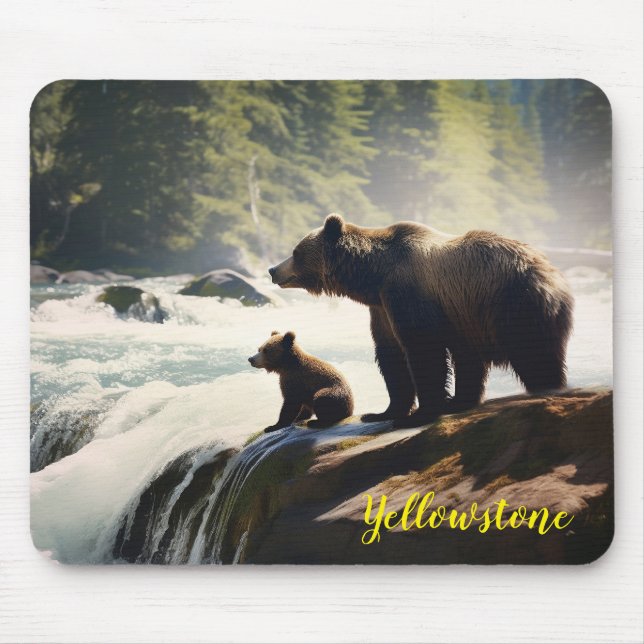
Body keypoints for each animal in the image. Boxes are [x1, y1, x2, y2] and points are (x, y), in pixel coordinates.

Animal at [268, 214, 574, 429]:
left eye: (295, 252)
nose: (272, 269)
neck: (374, 274)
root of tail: (554, 275)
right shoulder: (382, 306)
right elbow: (391, 355)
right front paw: (381, 412)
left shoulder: (408, 291)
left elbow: (422, 348)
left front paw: (419, 413)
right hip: (470, 312)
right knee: (471, 359)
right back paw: (460, 401)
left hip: (512, 302)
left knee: (534, 355)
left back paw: (546, 389)